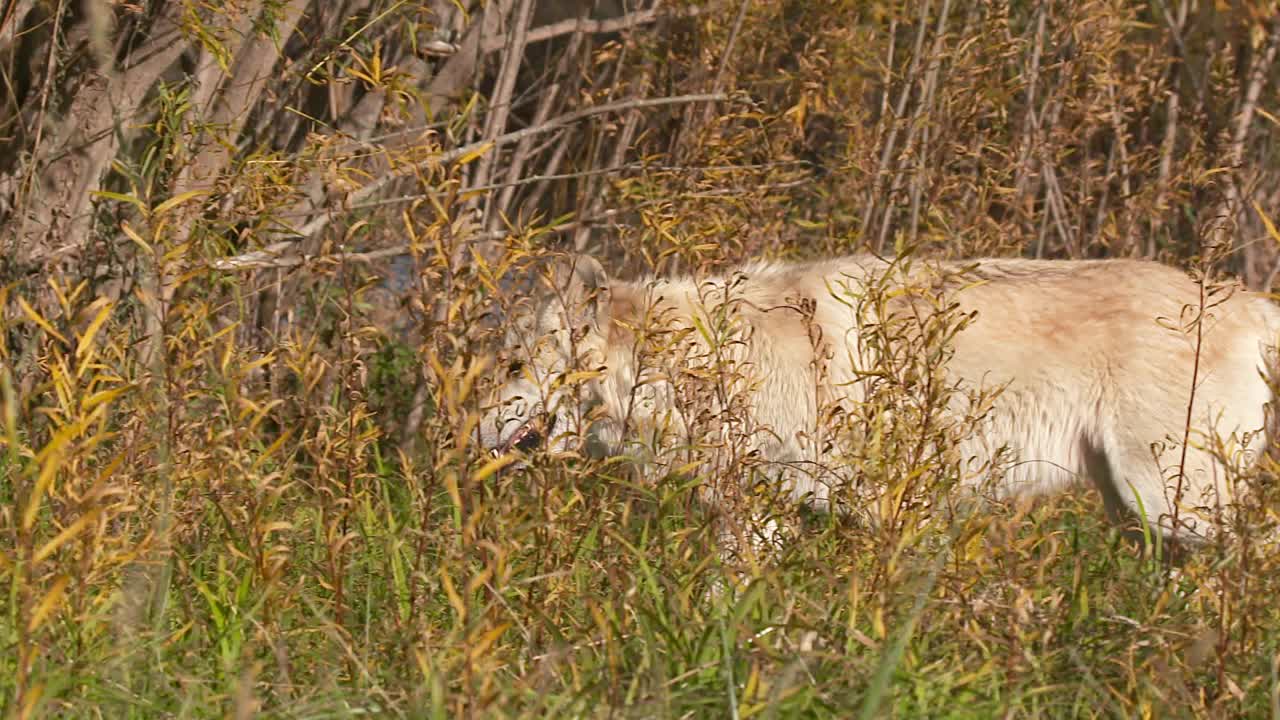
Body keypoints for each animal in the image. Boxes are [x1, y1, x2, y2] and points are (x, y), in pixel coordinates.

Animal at [481, 252, 1280, 543]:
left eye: (511, 363)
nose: (468, 429)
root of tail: (1252, 301)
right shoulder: (766, 512)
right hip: (1139, 512)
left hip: (1170, 502)